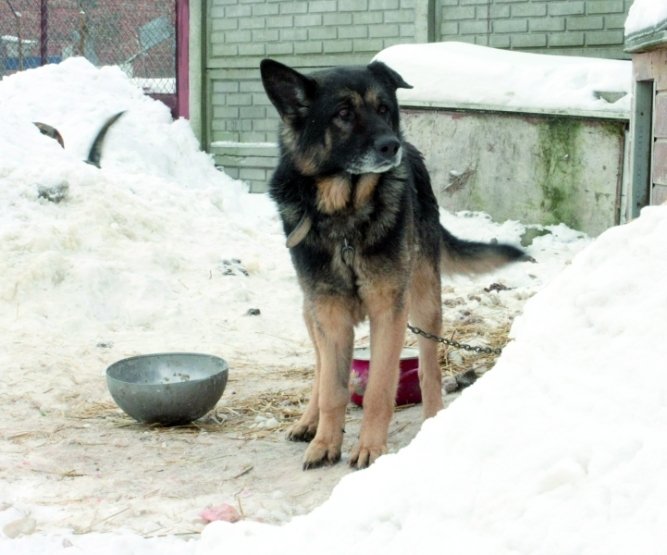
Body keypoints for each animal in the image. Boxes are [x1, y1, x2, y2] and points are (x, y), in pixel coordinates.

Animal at [260, 59, 528, 470]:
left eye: (384, 108)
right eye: (343, 113)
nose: (391, 145)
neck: (346, 215)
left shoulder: (389, 310)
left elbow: (379, 388)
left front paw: (370, 446)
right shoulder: (329, 313)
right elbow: (332, 388)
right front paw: (325, 442)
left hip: (424, 300)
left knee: (430, 368)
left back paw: (433, 421)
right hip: (311, 309)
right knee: (320, 368)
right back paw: (309, 421)